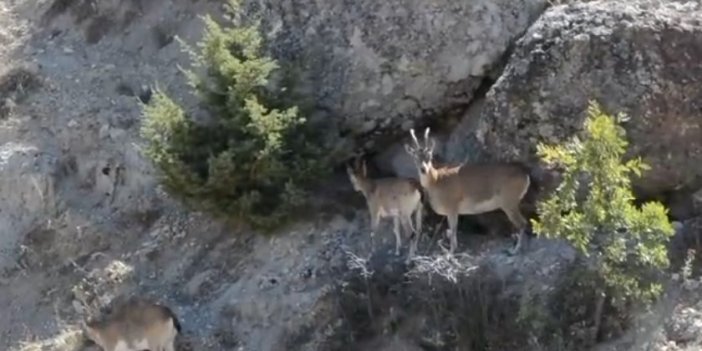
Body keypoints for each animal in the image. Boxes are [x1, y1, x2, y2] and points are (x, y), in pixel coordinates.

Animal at [404, 128, 532, 254]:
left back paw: (515, 249)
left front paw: (451, 252)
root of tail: (525, 175)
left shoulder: (452, 207)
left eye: (429, 156)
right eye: (415, 158)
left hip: (509, 202)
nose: (423, 169)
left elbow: (453, 229)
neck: (437, 180)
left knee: (522, 223)